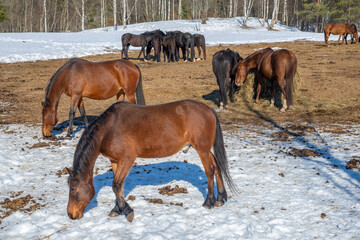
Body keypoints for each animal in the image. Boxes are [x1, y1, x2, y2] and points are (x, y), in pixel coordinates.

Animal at [66, 99, 238, 221]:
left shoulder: (127, 160)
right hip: (206, 150)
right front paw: (116, 209)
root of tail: (209, 110)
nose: (70, 215)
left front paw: (127, 211)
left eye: (73, 190)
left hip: (202, 149)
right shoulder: (115, 161)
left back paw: (209, 202)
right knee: (217, 166)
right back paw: (220, 198)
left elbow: (116, 185)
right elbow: (118, 187)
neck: (109, 129)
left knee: (210, 170)